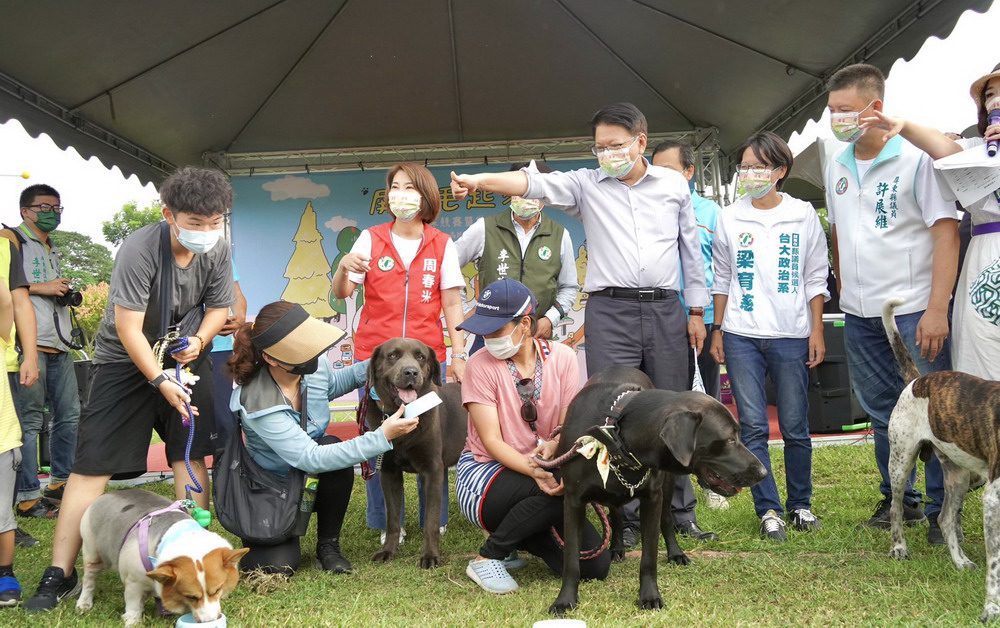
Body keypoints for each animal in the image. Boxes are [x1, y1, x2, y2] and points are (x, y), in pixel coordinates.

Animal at [368, 338, 468, 568]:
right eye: (392, 355)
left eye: (420, 357)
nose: (411, 372)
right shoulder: (389, 472)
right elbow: (393, 519)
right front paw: (388, 550)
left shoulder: (432, 471)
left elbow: (430, 521)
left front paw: (430, 556)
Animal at [548, 366, 764, 616]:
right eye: (729, 439)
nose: (763, 472)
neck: (618, 437)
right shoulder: (573, 500)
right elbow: (571, 558)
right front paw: (565, 600)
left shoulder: (653, 498)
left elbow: (649, 557)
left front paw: (649, 596)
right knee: (617, 515)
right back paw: (617, 547)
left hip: (667, 486)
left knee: (667, 520)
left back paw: (675, 553)